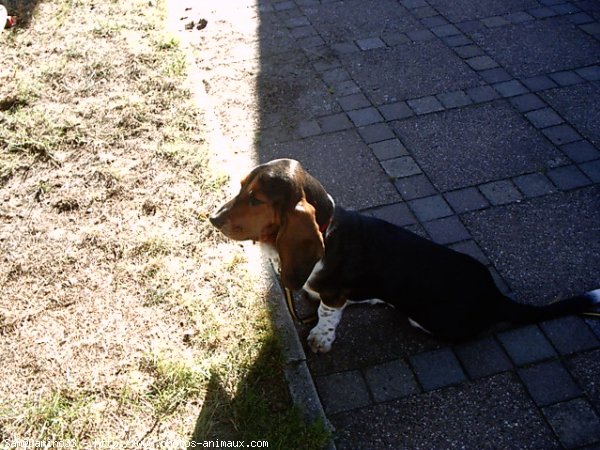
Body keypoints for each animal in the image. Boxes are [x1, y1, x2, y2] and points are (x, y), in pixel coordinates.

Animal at [209, 158, 596, 352]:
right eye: (241, 188)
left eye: (256, 199)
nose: (213, 218)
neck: (329, 229)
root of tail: (495, 297)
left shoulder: (334, 295)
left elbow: (328, 315)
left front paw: (320, 338)